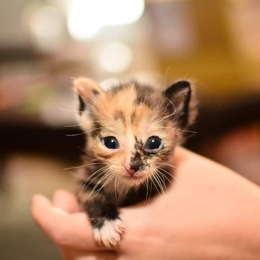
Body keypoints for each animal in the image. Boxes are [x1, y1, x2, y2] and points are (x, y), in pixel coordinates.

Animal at [73, 77, 197, 248]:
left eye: (154, 142)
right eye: (110, 142)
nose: (133, 166)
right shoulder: (85, 177)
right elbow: (92, 196)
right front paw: (107, 226)